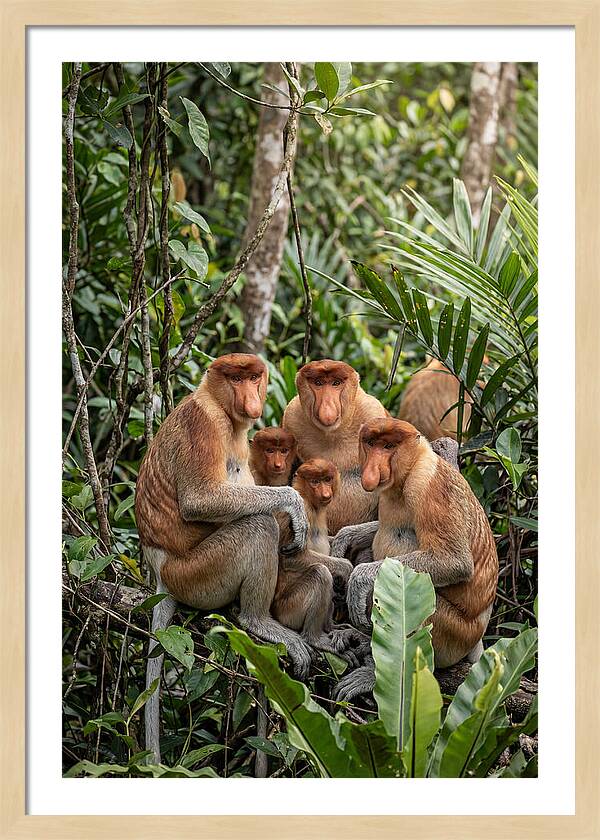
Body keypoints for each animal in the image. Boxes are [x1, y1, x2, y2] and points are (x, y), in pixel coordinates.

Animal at [135, 353, 312, 763]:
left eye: (254, 377)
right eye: (235, 378)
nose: (251, 399)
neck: (218, 404)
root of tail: (160, 571)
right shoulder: (204, 424)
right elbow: (201, 500)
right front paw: (294, 505)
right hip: (197, 573)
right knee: (257, 526)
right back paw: (256, 620)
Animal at [272, 459, 367, 664]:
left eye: (327, 479)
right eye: (315, 482)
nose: (325, 493)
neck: (310, 501)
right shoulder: (301, 513)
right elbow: (292, 558)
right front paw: (347, 567)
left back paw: (333, 627)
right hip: (289, 610)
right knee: (321, 573)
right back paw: (315, 638)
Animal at [282, 360, 388, 535]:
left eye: (336, 383)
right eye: (318, 383)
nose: (327, 409)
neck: (332, 434)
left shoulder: (373, 411)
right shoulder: (291, 417)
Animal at [331, 419, 498, 702]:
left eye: (389, 446)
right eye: (371, 444)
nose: (372, 469)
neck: (409, 470)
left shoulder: (428, 487)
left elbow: (454, 561)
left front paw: (359, 579)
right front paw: (344, 538)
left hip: (454, 634)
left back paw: (375, 674)